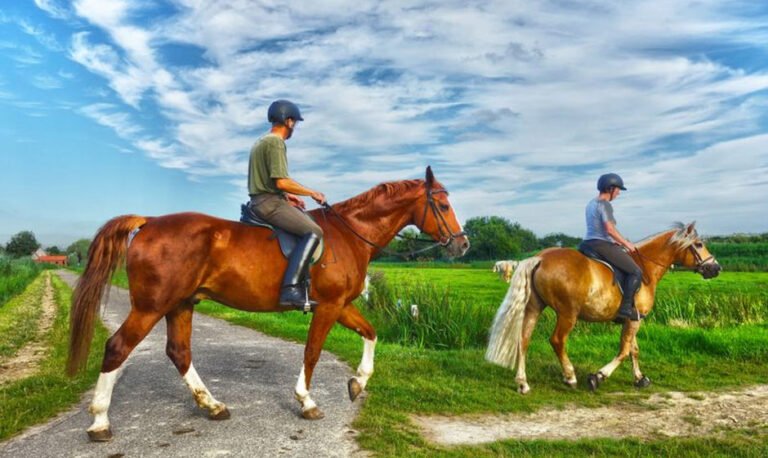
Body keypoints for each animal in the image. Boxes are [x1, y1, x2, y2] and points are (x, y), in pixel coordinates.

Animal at [69, 167, 468, 440]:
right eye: (443, 204)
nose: (462, 244)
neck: (349, 234)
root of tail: (149, 222)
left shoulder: (341, 305)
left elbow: (371, 333)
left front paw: (358, 383)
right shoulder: (329, 306)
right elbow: (312, 351)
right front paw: (307, 402)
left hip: (181, 304)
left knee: (179, 352)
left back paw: (213, 406)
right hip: (151, 307)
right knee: (117, 347)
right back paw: (100, 421)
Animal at [486, 223, 720, 394]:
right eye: (699, 244)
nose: (716, 268)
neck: (645, 268)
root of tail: (540, 258)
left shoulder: (633, 318)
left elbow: (633, 349)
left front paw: (639, 378)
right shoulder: (635, 319)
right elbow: (624, 351)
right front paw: (597, 377)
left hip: (535, 308)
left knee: (523, 340)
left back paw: (523, 383)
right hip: (567, 314)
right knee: (557, 340)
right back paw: (570, 377)